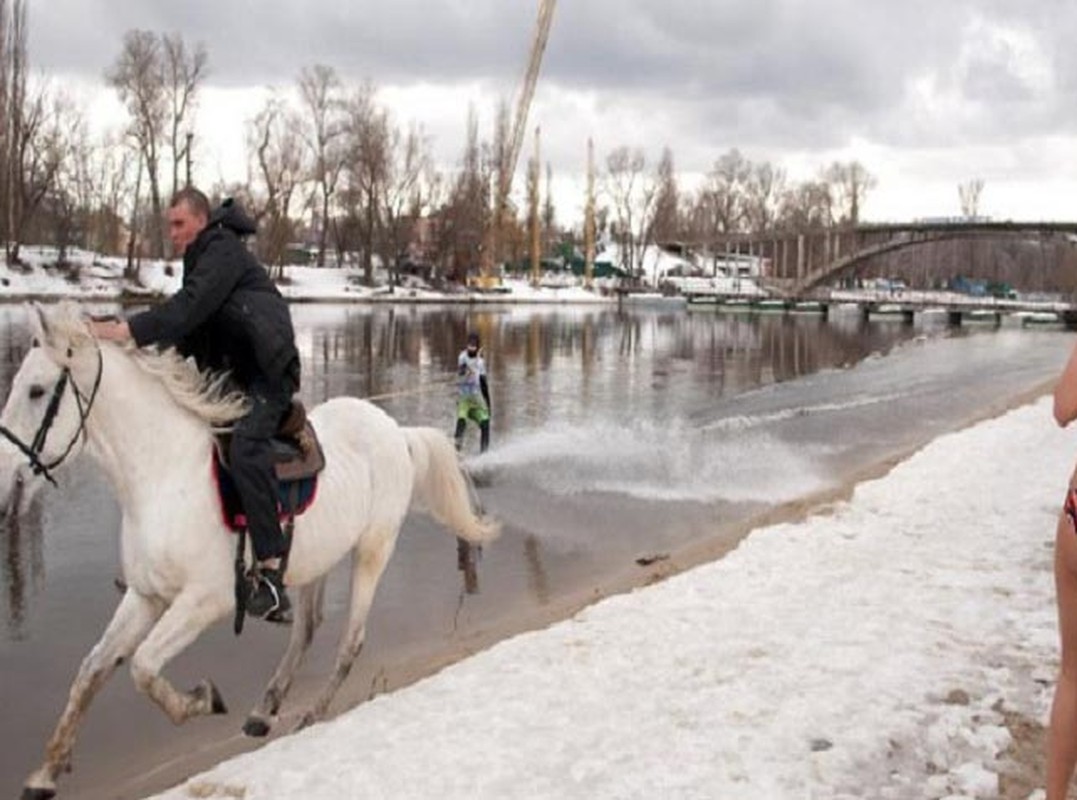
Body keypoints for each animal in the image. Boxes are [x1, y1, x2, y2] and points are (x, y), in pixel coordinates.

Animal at [0, 303, 495, 796]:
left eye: (37, 390)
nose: (7, 480)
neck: (163, 475)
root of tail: (397, 432)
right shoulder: (146, 596)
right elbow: (92, 671)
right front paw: (46, 772)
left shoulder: (204, 600)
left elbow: (142, 667)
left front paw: (203, 700)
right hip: (316, 559)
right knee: (306, 630)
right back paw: (265, 709)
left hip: (373, 550)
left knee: (350, 643)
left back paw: (311, 716)